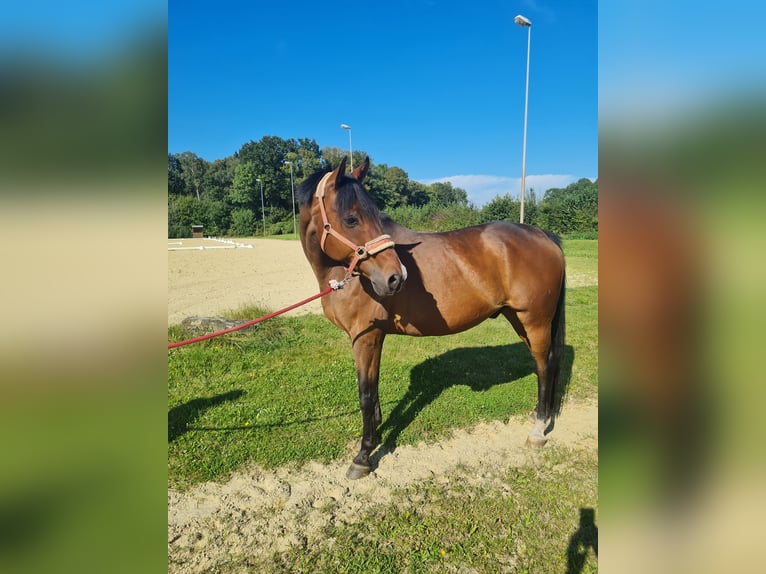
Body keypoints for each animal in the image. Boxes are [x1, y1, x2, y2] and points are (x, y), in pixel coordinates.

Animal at [296, 158, 568, 482]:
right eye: (351, 219)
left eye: (373, 215)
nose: (396, 277)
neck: (346, 275)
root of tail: (542, 235)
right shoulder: (374, 338)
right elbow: (373, 389)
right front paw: (376, 434)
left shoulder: (365, 338)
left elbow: (365, 394)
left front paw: (363, 456)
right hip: (519, 319)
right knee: (548, 363)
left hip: (535, 320)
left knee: (544, 365)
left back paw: (538, 429)